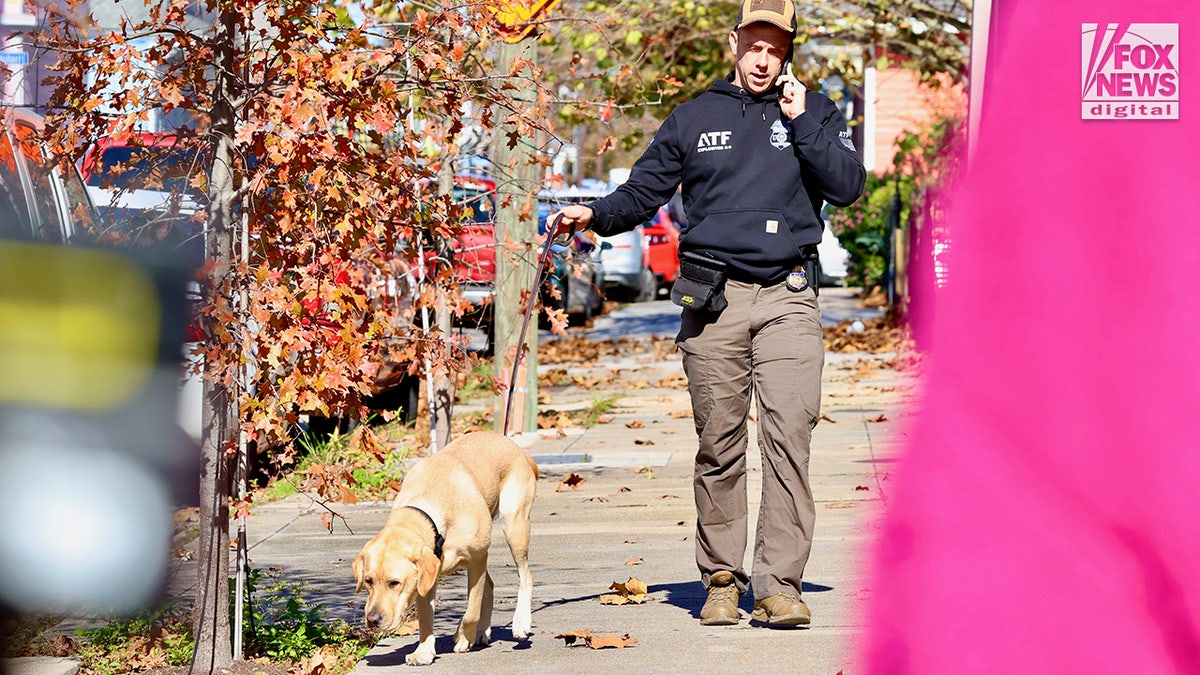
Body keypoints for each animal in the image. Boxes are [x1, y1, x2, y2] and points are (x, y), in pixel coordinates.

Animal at [352, 429, 537, 662]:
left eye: (394, 583)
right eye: (368, 581)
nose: (372, 619)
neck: (429, 502)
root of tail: (512, 444)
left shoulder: (477, 560)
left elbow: (471, 609)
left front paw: (463, 636)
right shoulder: (425, 579)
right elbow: (425, 617)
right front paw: (424, 651)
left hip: (514, 524)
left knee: (525, 575)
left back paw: (520, 623)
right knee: (490, 585)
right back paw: (482, 630)